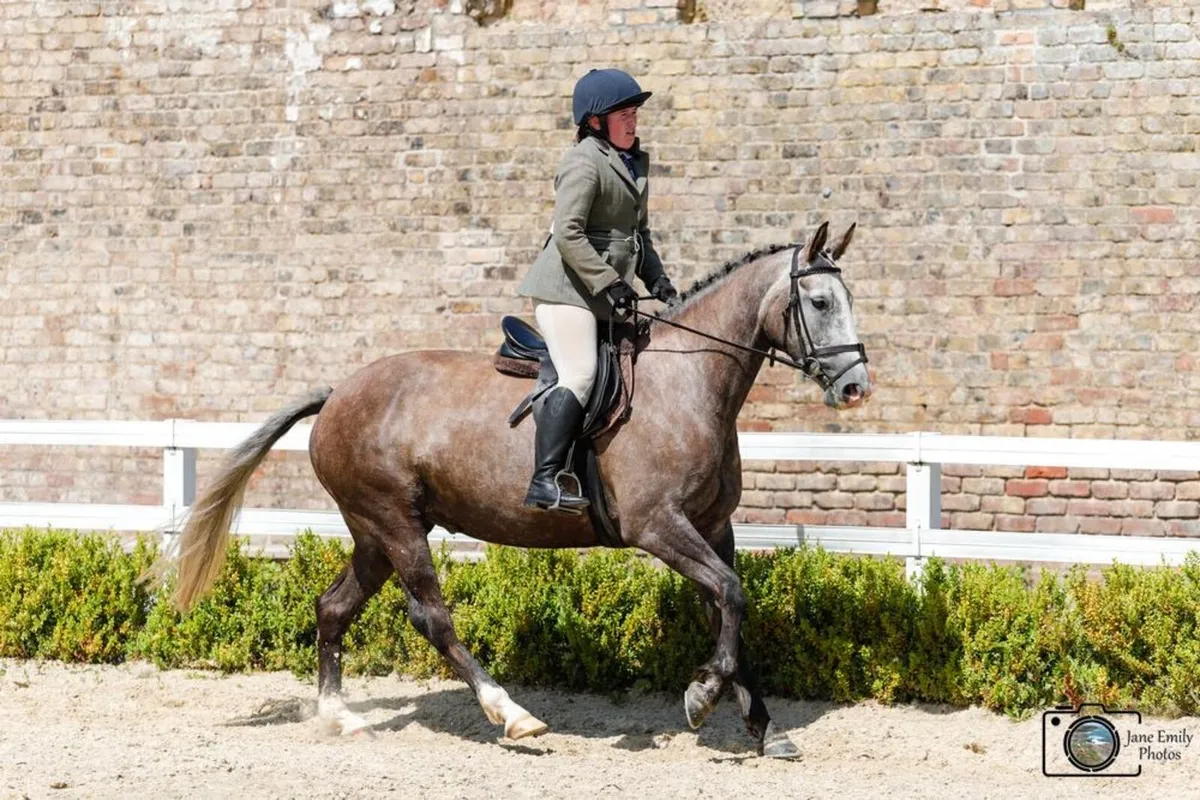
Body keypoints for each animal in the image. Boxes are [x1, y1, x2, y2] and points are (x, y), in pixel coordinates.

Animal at [170, 221, 871, 758]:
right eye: (819, 304)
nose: (855, 387)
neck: (689, 383)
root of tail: (339, 392)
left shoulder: (712, 527)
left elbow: (728, 608)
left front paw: (763, 729)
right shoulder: (658, 526)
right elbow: (730, 594)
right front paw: (701, 698)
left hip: (376, 532)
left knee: (333, 607)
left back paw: (340, 716)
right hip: (393, 523)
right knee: (431, 616)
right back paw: (511, 713)